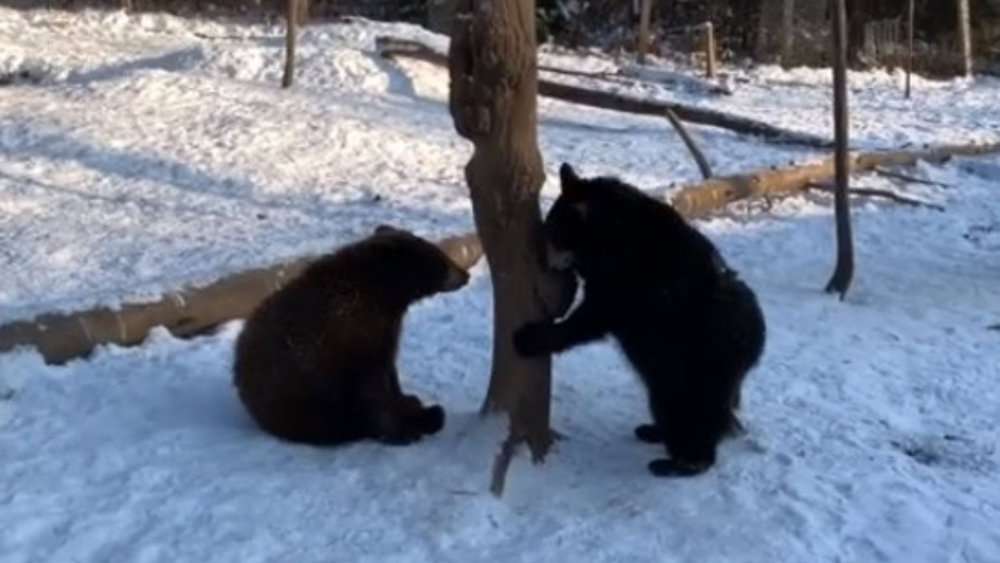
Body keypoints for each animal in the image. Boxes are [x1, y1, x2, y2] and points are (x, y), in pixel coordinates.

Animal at [233, 225, 470, 446]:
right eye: (438, 257)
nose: (465, 275)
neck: (384, 296)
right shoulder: (352, 339)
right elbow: (373, 388)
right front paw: (404, 430)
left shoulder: (384, 331)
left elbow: (389, 372)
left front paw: (410, 403)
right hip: (300, 405)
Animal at [513, 163, 766, 477]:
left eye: (553, 232)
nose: (543, 260)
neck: (617, 236)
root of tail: (754, 347)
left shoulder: (628, 284)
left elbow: (589, 319)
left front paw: (530, 338)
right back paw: (654, 431)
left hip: (692, 368)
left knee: (690, 414)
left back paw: (681, 462)